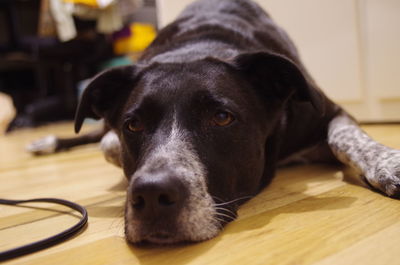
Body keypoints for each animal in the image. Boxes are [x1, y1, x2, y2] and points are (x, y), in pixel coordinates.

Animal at [28, 0, 400, 243]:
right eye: (133, 125)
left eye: (222, 118)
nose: (151, 194)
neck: (195, 47)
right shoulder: (114, 136)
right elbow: (111, 145)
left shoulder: (330, 111)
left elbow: (347, 139)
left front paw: (388, 164)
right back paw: (47, 142)